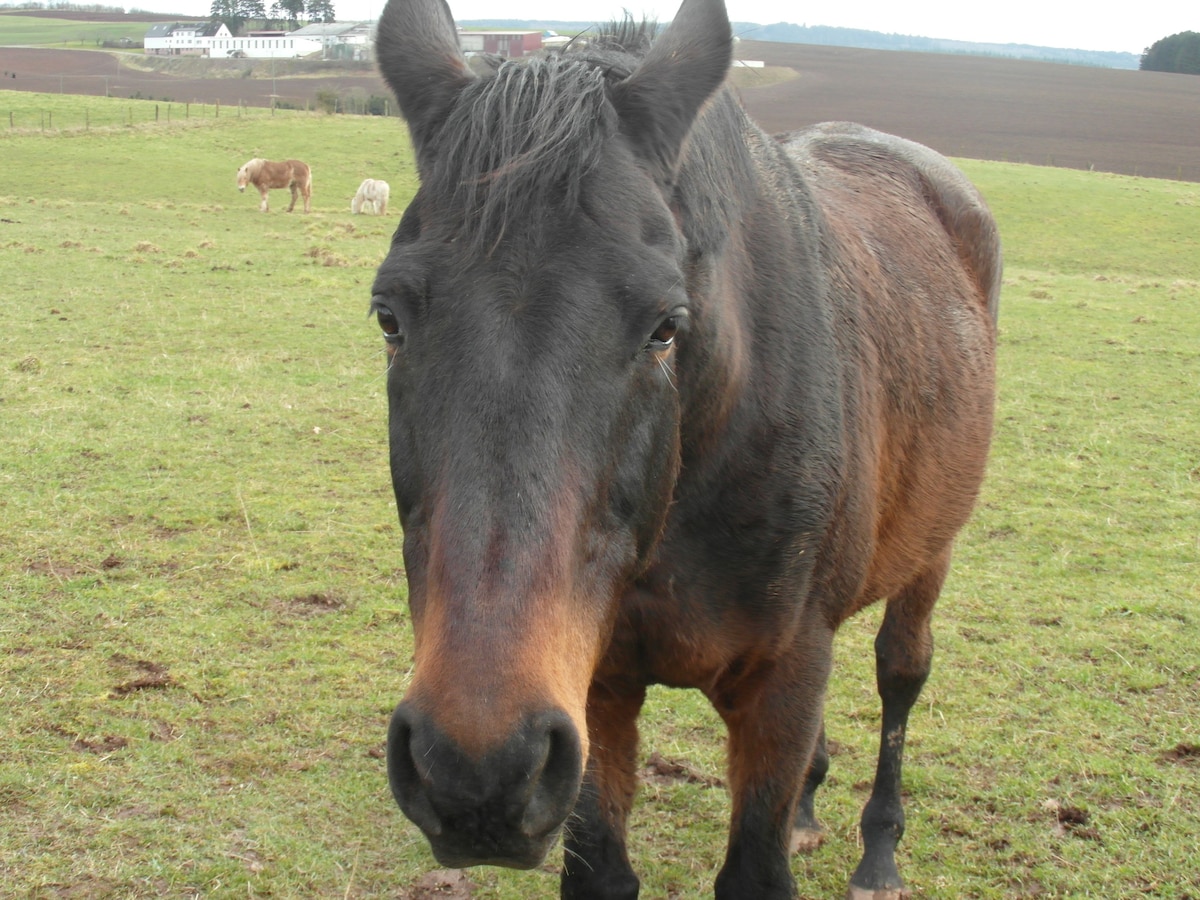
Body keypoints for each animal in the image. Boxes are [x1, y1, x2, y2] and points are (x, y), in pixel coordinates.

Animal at [372, 0, 1003, 897]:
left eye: (666, 326)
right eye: (389, 316)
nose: (476, 772)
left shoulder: (781, 679)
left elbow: (755, 869)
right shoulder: (596, 688)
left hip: (930, 554)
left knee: (899, 673)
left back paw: (878, 850)